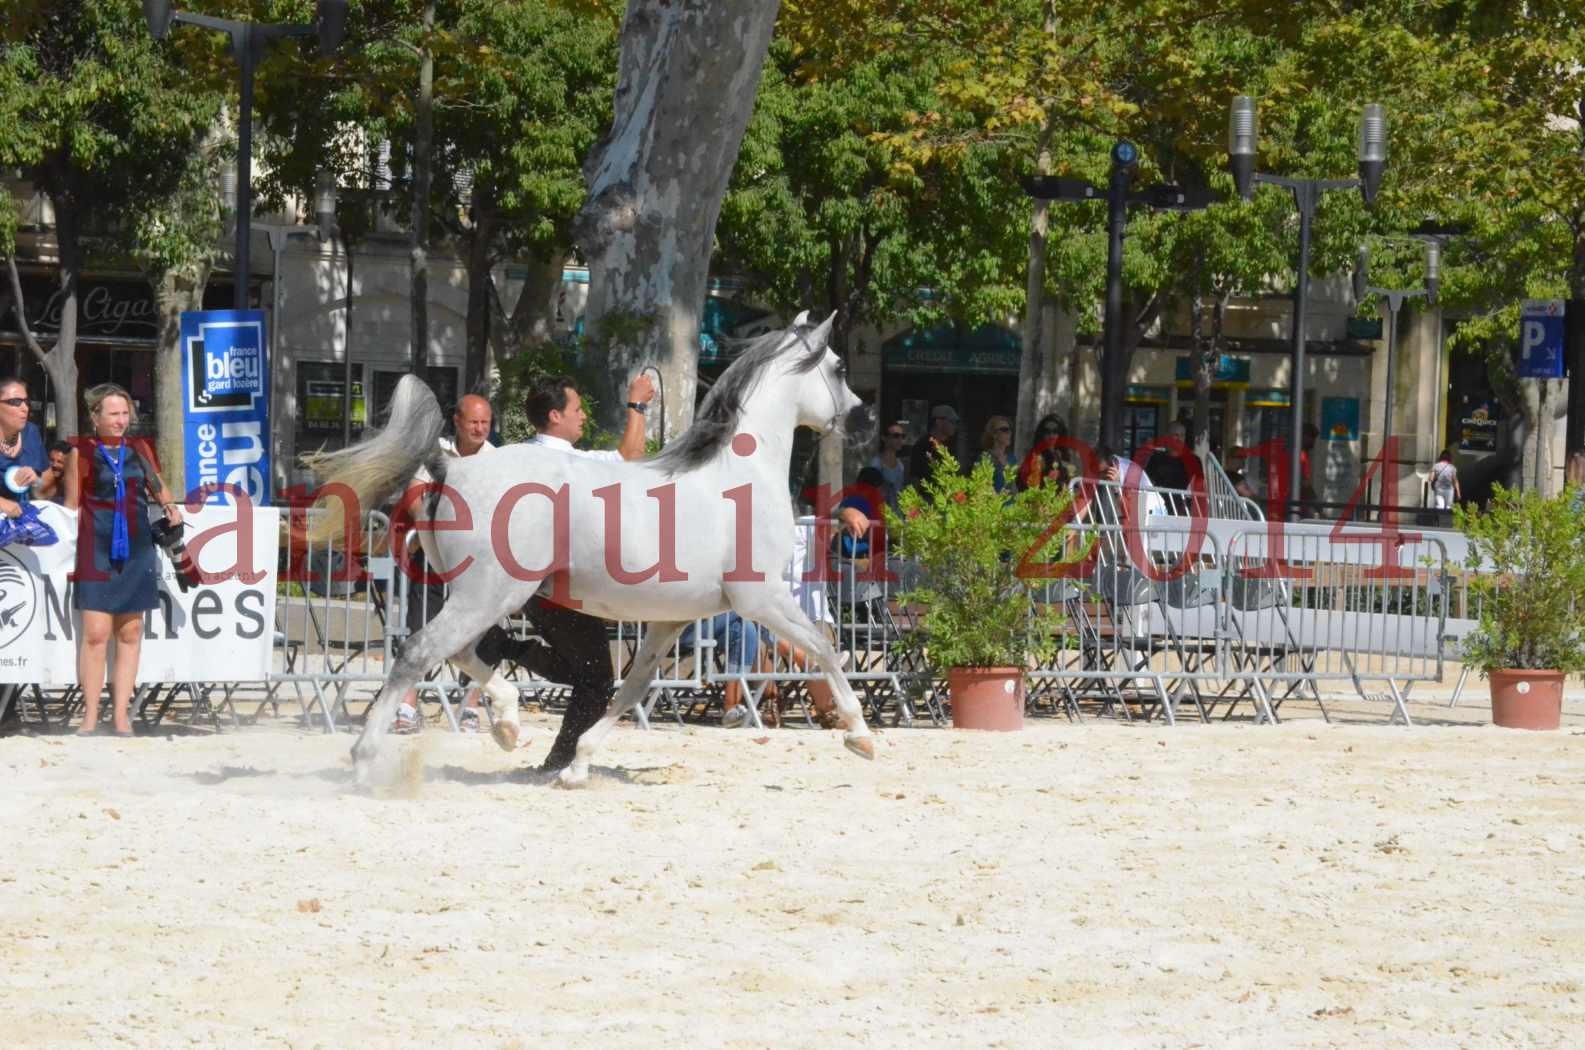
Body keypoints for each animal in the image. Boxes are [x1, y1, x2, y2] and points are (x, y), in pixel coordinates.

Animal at [309, 312, 881, 789]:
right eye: (838, 366)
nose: (864, 421)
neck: (739, 477)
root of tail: (451, 467)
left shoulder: (671, 620)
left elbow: (631, 687)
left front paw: (577, 767)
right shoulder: (761, 599)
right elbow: (825, 648)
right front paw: (861, 736)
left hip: (480, 596)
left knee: (467, 653)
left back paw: (509, 727)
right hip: (489, 595)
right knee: (419, 652)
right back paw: (365, 761)